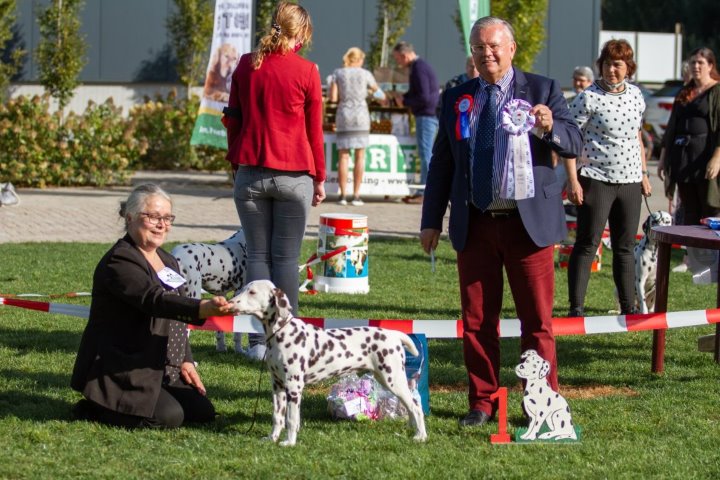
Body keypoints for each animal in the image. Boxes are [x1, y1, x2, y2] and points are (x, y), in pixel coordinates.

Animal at [229, 280, 428, 448]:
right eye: (244, 288)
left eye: (252, 292)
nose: (231, 302)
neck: (281, 333)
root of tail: (394, 334)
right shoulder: (277, 385)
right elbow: (277, 417)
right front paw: (272, 438)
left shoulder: (294, 387)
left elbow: (291, 419)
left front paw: (289, 442)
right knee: (411, 405)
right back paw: (412, 429)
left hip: (393, 380)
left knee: (416, 407)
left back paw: (420, 436)